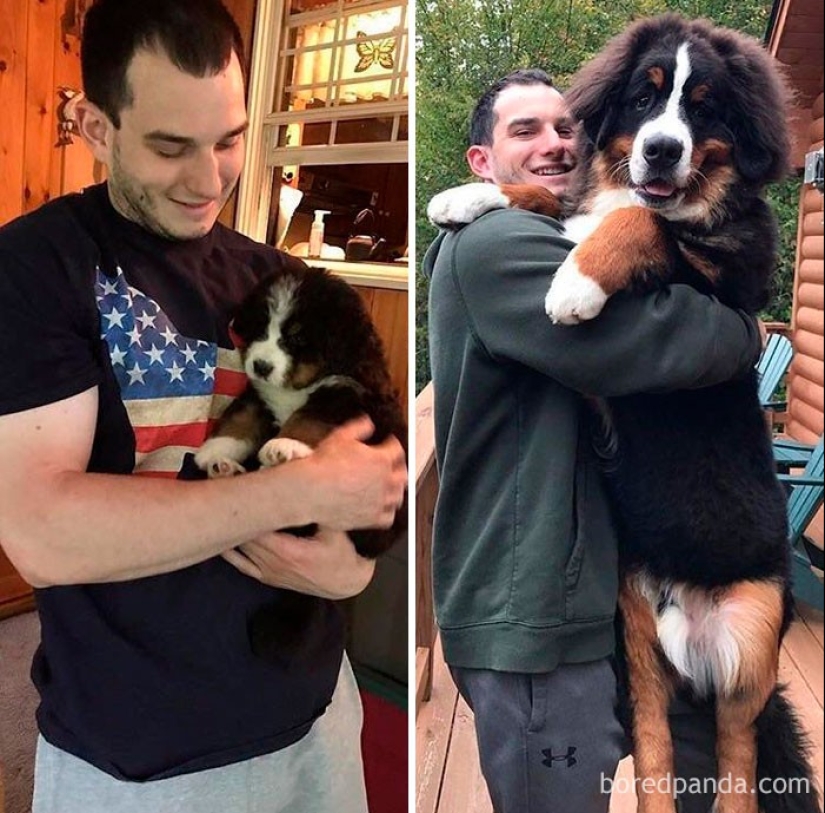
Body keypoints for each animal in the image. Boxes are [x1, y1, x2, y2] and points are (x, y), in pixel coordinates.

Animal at [197, 264, 408, 664]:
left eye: (296, 339)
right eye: (260, 328)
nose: (261, 365)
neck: (294, 387)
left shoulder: (345, 395)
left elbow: (308, 420)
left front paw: (284, 445)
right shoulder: (260, 396)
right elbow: (243, 417)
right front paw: (214, 449)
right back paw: (227, 468)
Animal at [432, 12, 816, 812]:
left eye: (702, 106)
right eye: (643, 99)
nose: (661, 148)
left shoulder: (719, 281)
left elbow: (642, 229)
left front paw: (573, 285)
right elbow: (550, 198)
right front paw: (465, 197)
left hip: (749, 651)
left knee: (738, 767)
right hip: (640, 646)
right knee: (659, 759)